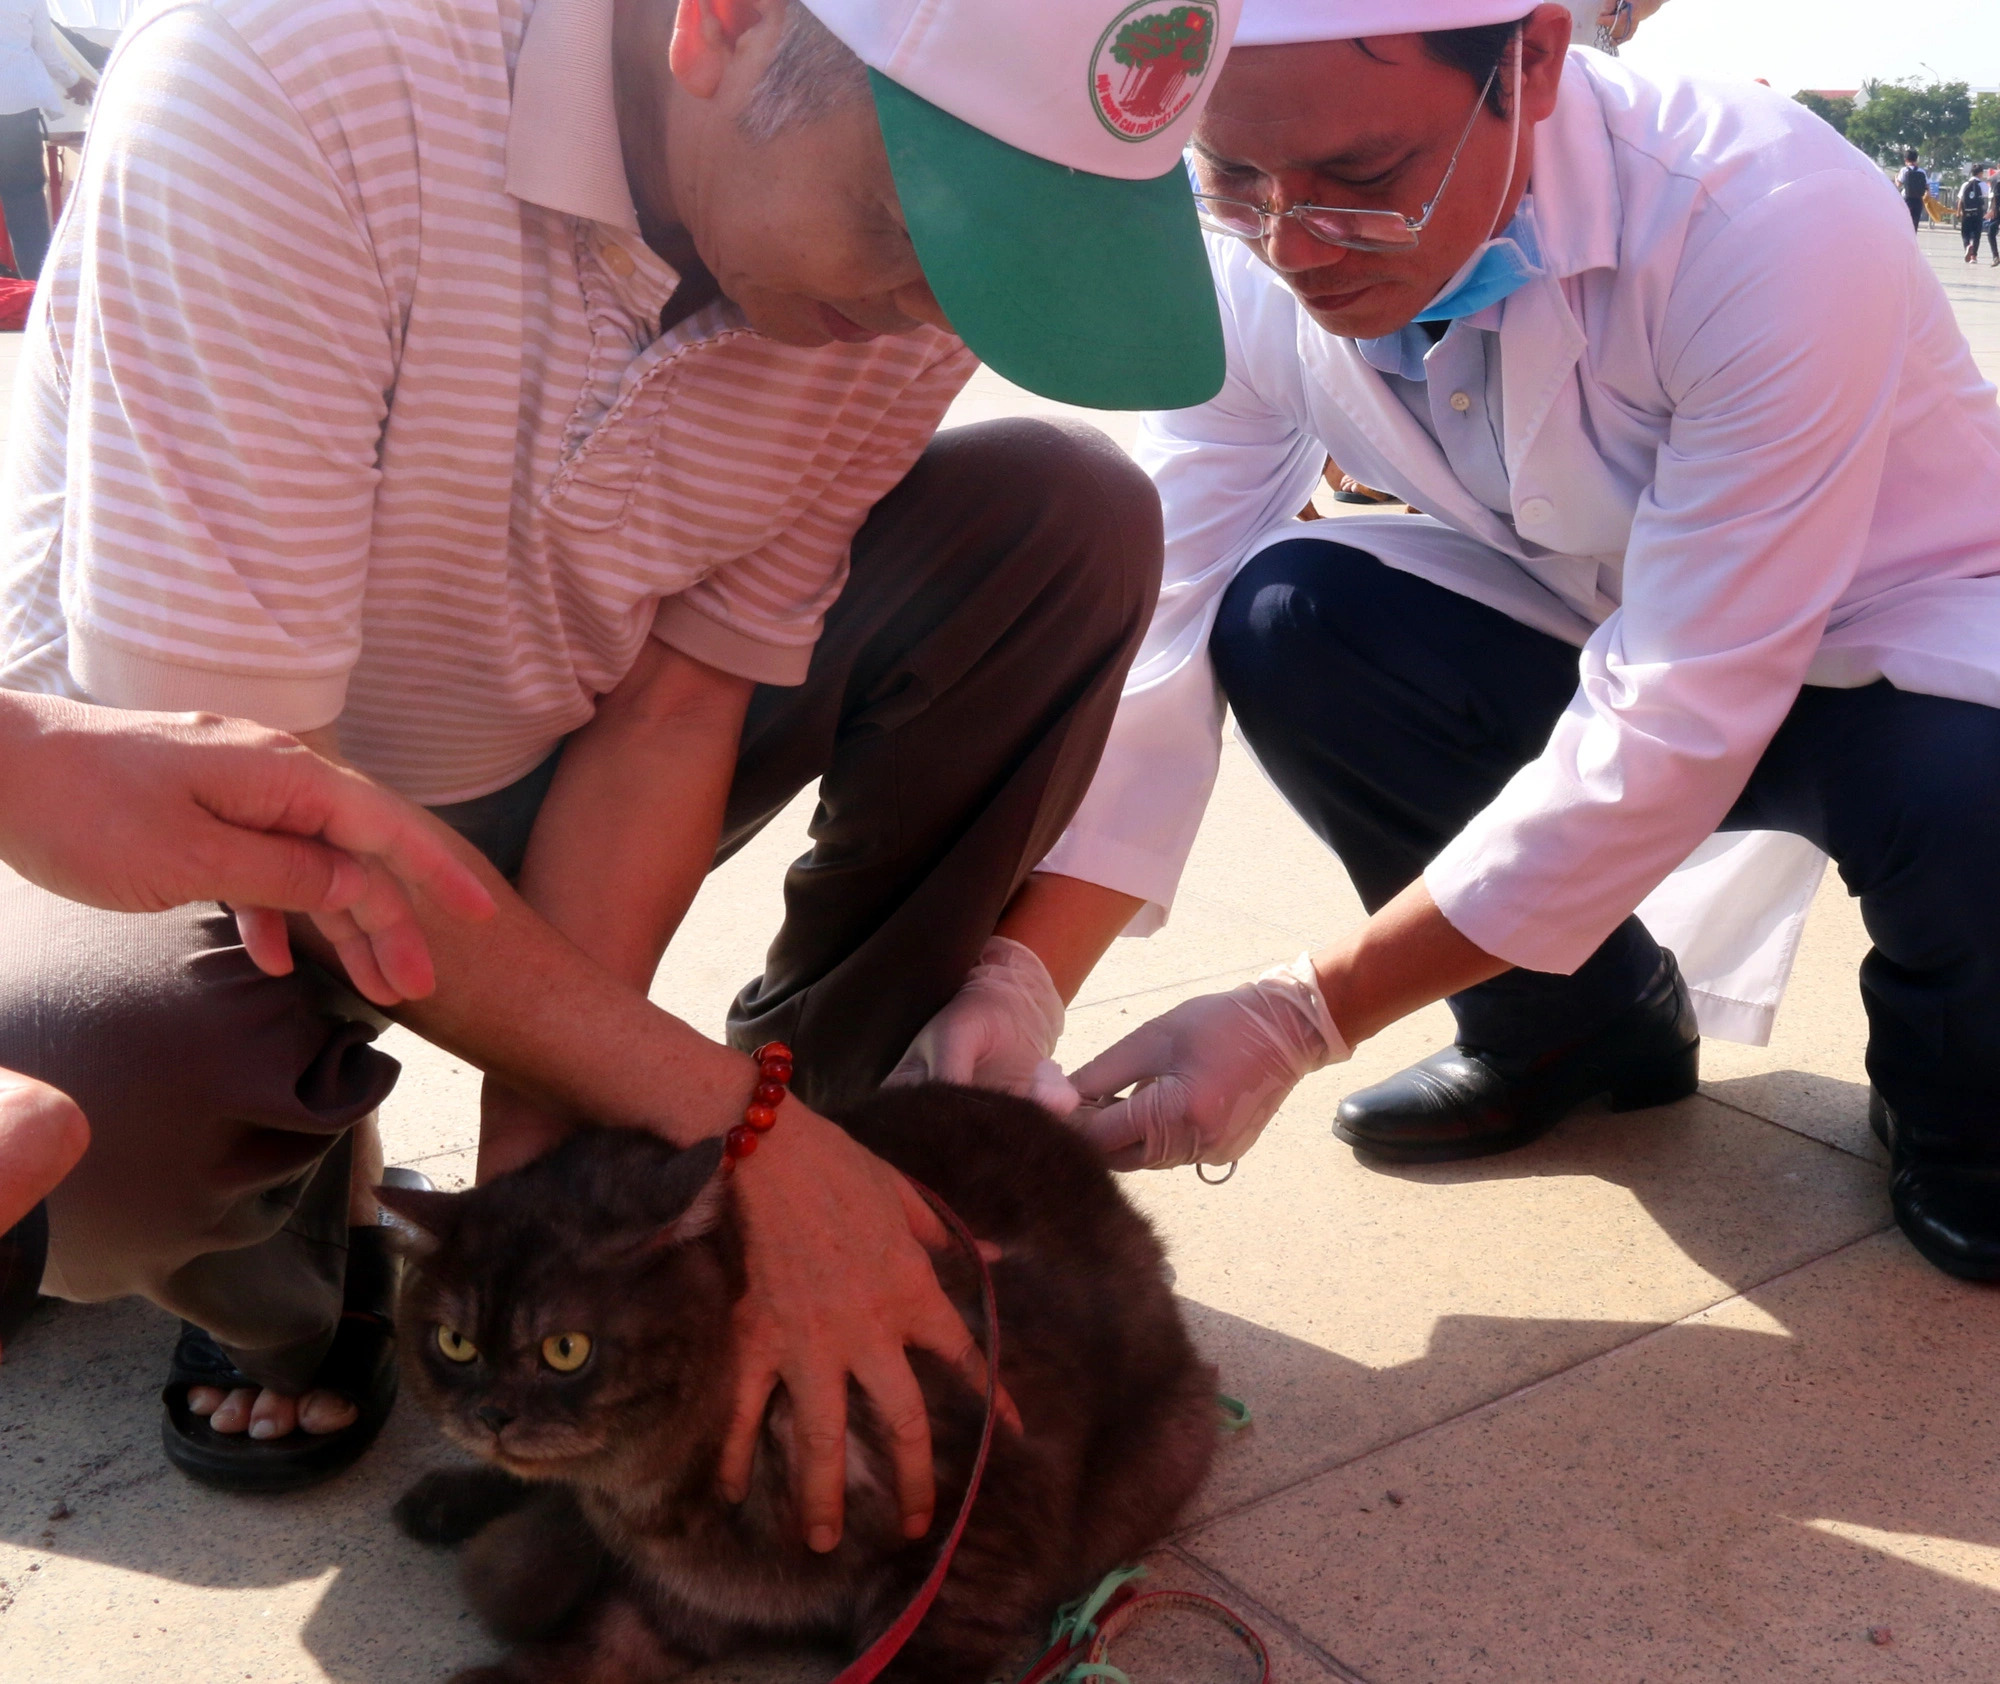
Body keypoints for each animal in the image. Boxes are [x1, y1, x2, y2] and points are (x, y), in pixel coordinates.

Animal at [378, 1080, 1216, 1672]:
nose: (490, 1415)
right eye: (454, 1343)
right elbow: (592, 1650)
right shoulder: (683, 1597)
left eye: (564, 1350)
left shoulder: (972, 1551)